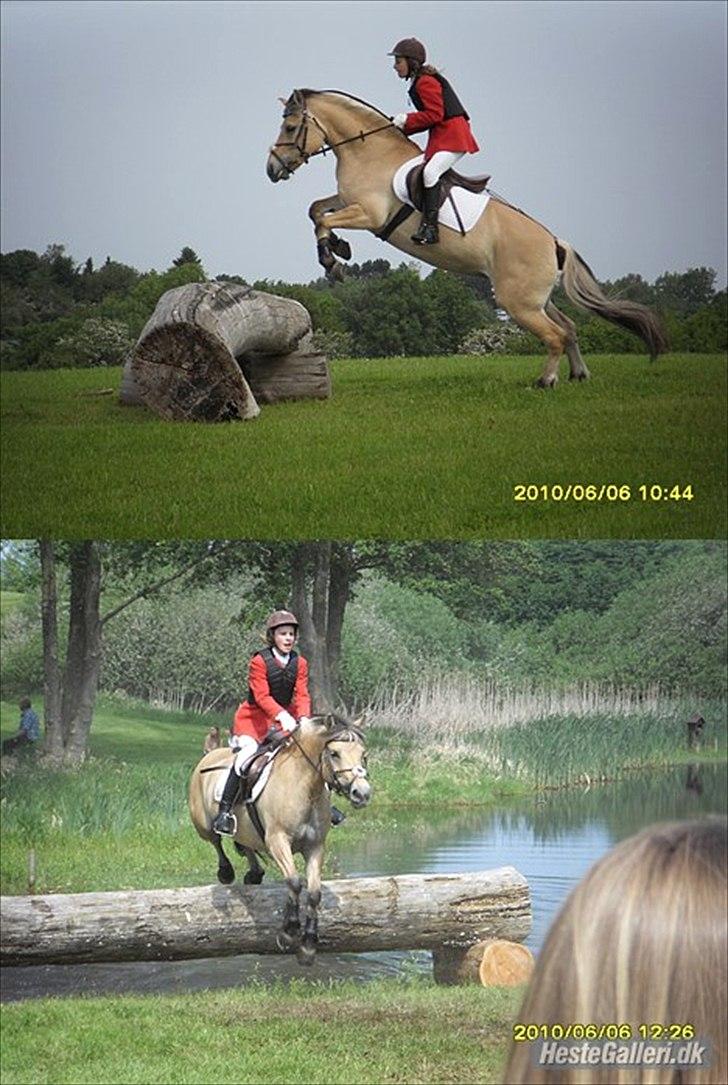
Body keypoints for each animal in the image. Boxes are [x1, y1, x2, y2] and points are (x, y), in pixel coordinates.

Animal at [187, 716, 371, 963]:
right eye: (334, 753)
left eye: (363, 754)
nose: (362, 793)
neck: (305, 788)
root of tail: (211, 753)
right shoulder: (278, 841)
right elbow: (294, 881)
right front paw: (289, 931)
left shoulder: (315, 846)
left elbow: (314, 893)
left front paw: (308, 943)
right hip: (203, 824)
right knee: (216, 841)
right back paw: (226, 870)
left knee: (246, 845)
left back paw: (254, 873)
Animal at [265, 90, 668, 386]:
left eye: (290, 127)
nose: (272, 169)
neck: (368, 151)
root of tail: (554, 242)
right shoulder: (348, 201)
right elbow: (316, 209)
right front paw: (338, 250)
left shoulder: (368, 214)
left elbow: (323, 219)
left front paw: (333, 259)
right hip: (536, 298)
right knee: (568, 328)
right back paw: (578, 374)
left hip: (518, 301)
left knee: (555, 334)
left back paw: (546, 381)